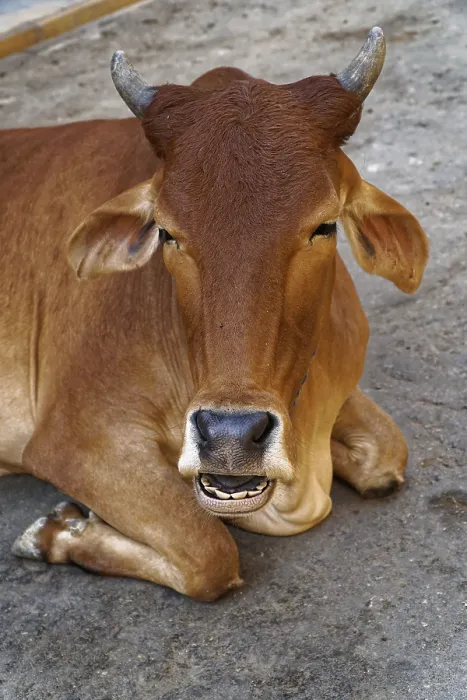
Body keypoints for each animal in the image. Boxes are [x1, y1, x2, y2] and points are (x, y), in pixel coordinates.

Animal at [0, 27, 428, 601]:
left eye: (324, 226)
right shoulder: (72, 437)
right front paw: (58, 531)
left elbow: (387, 453)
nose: (229, 438)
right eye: (167, 231)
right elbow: (209, 552)